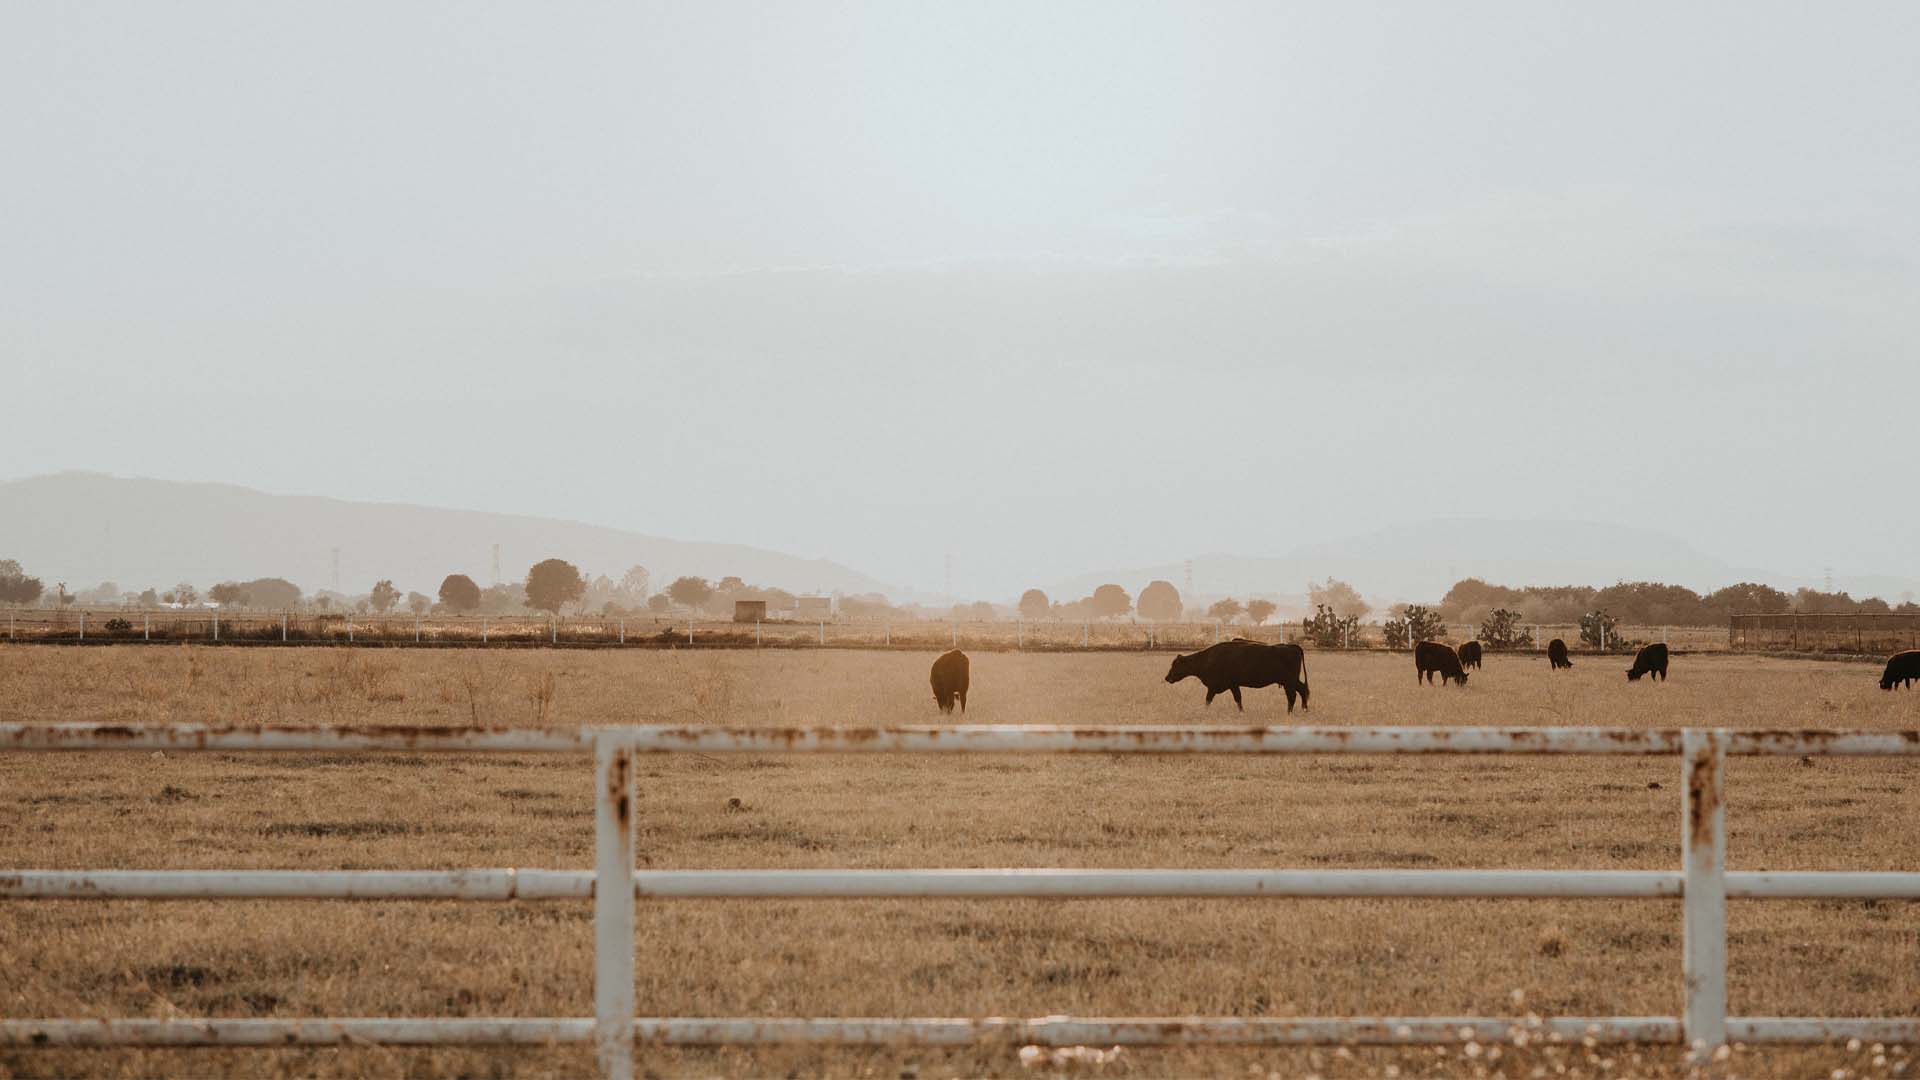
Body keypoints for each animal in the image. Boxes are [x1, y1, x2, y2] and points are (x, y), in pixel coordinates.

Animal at [1159, 634, 1313, 711]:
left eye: (1176, 665)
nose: (1167, 677)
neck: (1207, 658)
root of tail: (1292, 646)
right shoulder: (1233, 685)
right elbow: (1238, 699)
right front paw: (1241, 711)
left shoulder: (1215, 687)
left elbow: (1208, 700)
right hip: (1290, 681)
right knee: (1302, 690)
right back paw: (1303, 709)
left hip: (1289, 682)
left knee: (1293, 695)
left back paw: (1291, 712)